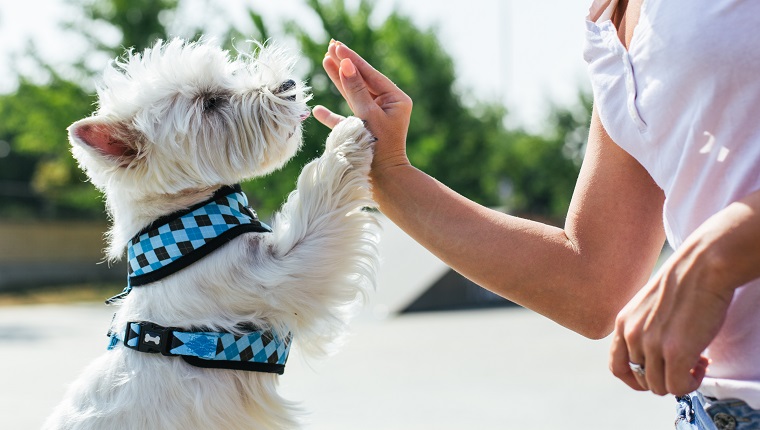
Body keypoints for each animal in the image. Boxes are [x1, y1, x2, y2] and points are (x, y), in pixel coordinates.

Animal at [44, 38, 380, 428]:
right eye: (210, 103)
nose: (289, 85)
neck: (185, 226)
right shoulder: (277, 274)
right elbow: (318, 202)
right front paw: (347, 136)